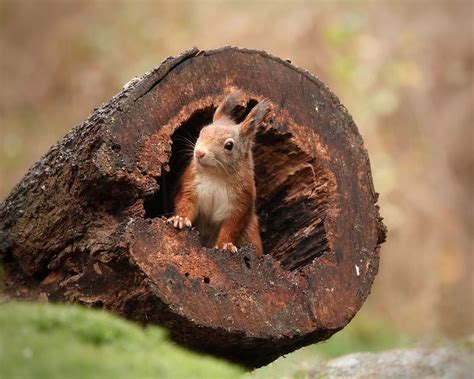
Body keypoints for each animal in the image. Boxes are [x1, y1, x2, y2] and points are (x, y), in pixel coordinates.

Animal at [168, 90, 268, 255]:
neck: (215, 175)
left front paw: (225, 245)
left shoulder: (242, 200)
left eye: (229, 145)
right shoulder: (190, 183)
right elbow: (185, 203)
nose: (199, 153)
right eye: (202, 131)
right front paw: (180, 219)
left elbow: (232, 227)